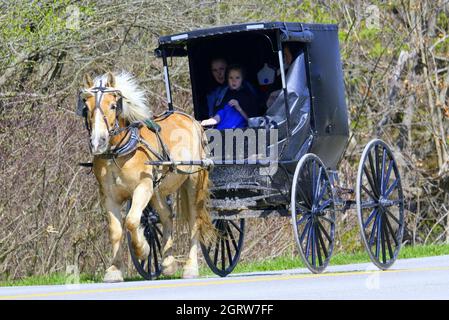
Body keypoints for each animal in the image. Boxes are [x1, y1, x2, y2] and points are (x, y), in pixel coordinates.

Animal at [77, 71, 215, 282]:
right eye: (86, 106)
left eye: (113, 105)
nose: (98, 142)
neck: (118, 153)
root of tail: (192, 120)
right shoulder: (108, 196)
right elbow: (116, 231)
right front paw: (114, 270)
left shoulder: (142, 188)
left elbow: (131, 221)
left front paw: (142, 249)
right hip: (158, 189)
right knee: (167, 216)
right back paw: (168, 262)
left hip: (194, 181)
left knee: (194, 221)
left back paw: (190, 268)